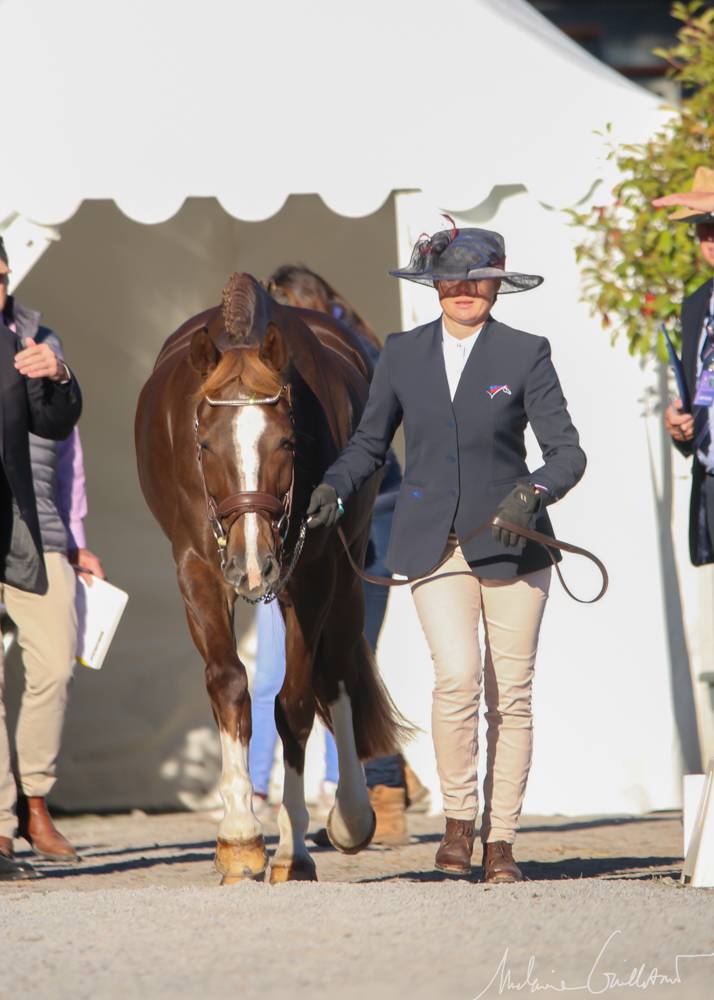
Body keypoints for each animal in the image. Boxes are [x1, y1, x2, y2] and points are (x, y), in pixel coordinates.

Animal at [135, 272, 404, 884]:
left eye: (286, 441)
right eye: (204, 444)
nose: (252, 562)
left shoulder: (314, 572)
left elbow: (296, 702)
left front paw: (292, 849)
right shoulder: (197, 566)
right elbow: (230, 683)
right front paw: (238, 837)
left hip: (344, 574)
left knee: (339, 673)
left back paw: (350, 815)